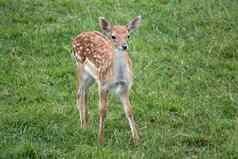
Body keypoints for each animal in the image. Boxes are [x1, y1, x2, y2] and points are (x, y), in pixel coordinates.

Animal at [72, 15, 141, 144]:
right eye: (113, 36)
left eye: (128, 35)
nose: (124, 46)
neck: (117, 75)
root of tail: (77, 37)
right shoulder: (103, 84)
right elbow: (103, 111)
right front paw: (100, 140)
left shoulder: (125, 86)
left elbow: (129, 110)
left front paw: (137, 140)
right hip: (80, 67)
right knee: (79, 94)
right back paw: (83, 127)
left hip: (92, 77)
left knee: (85, 94)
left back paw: (87, 124)